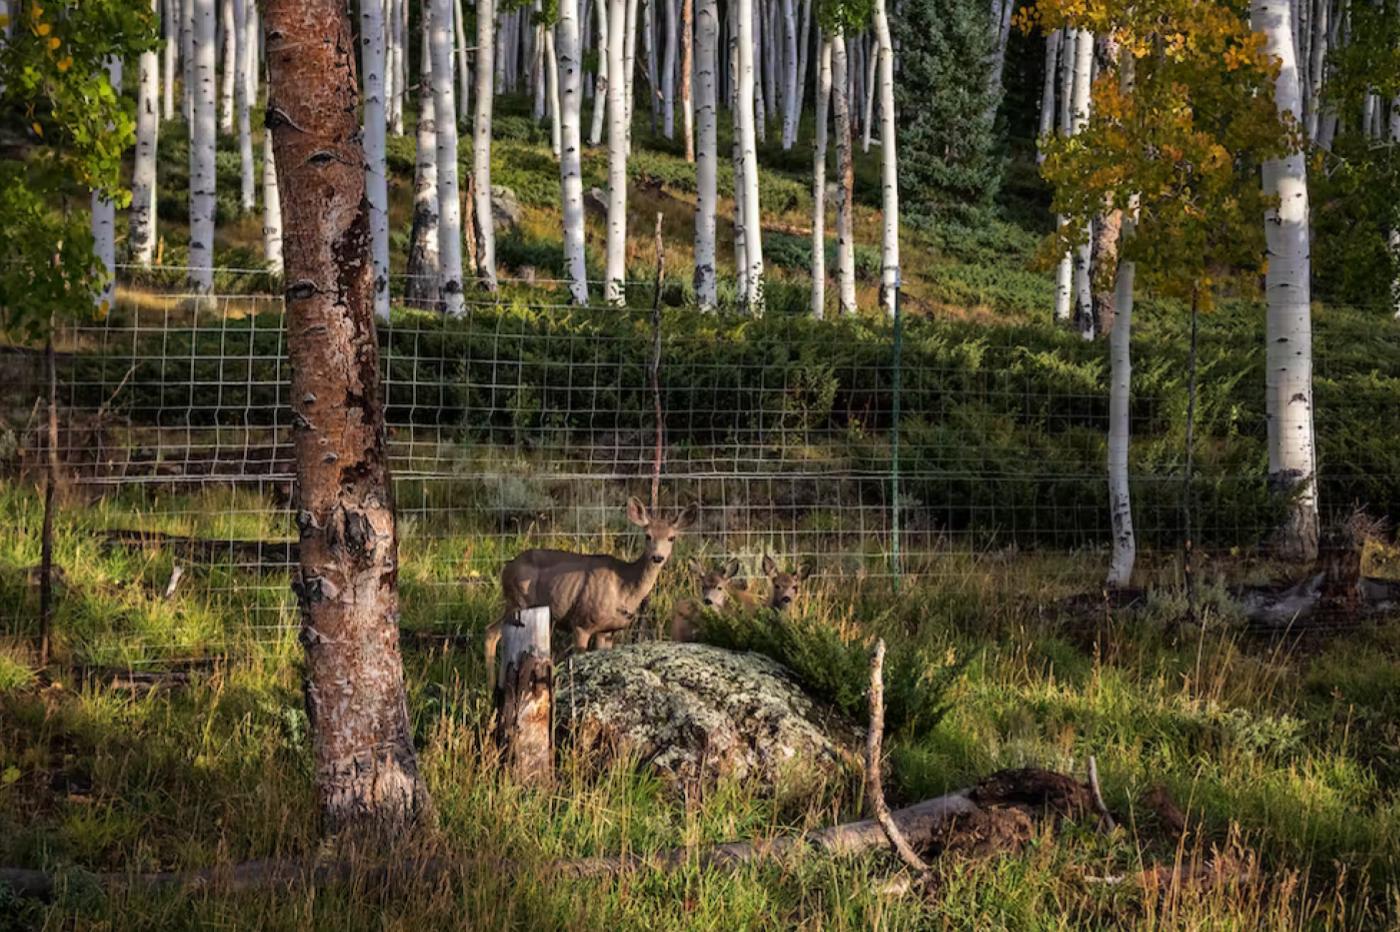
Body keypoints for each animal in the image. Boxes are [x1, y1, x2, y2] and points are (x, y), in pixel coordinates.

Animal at [487, 492, 700, 682]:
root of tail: (506, 568)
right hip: (519, 601)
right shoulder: (581, 622)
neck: (624, 586)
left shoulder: (607, 631)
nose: (657, 557)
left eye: (672, 537)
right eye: (648, 536)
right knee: (492, 632)